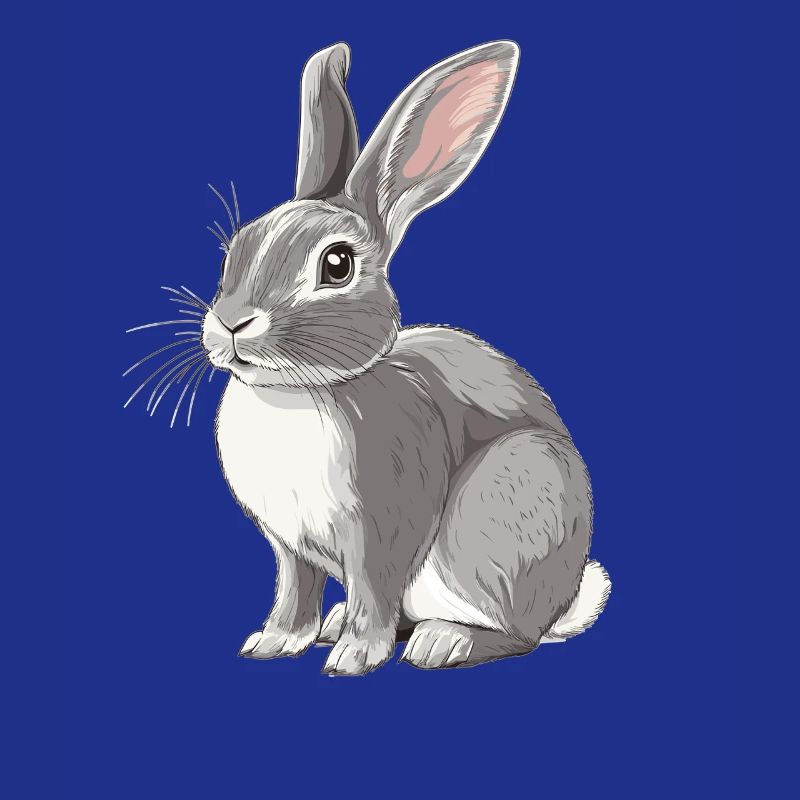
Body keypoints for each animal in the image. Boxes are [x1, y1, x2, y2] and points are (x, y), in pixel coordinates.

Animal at [200, 41, 611, 675]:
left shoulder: (384, 533)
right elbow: (295, 591)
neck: (296, 393)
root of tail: (563, 599)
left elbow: (374, 590)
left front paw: (354, 658)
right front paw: (273, 642)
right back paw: (341, 625)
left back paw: (443, 642)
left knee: (516, 634)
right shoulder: (290, 548)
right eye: (235, 250)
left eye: (337, 265)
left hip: (493, 517)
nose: (230, 325)